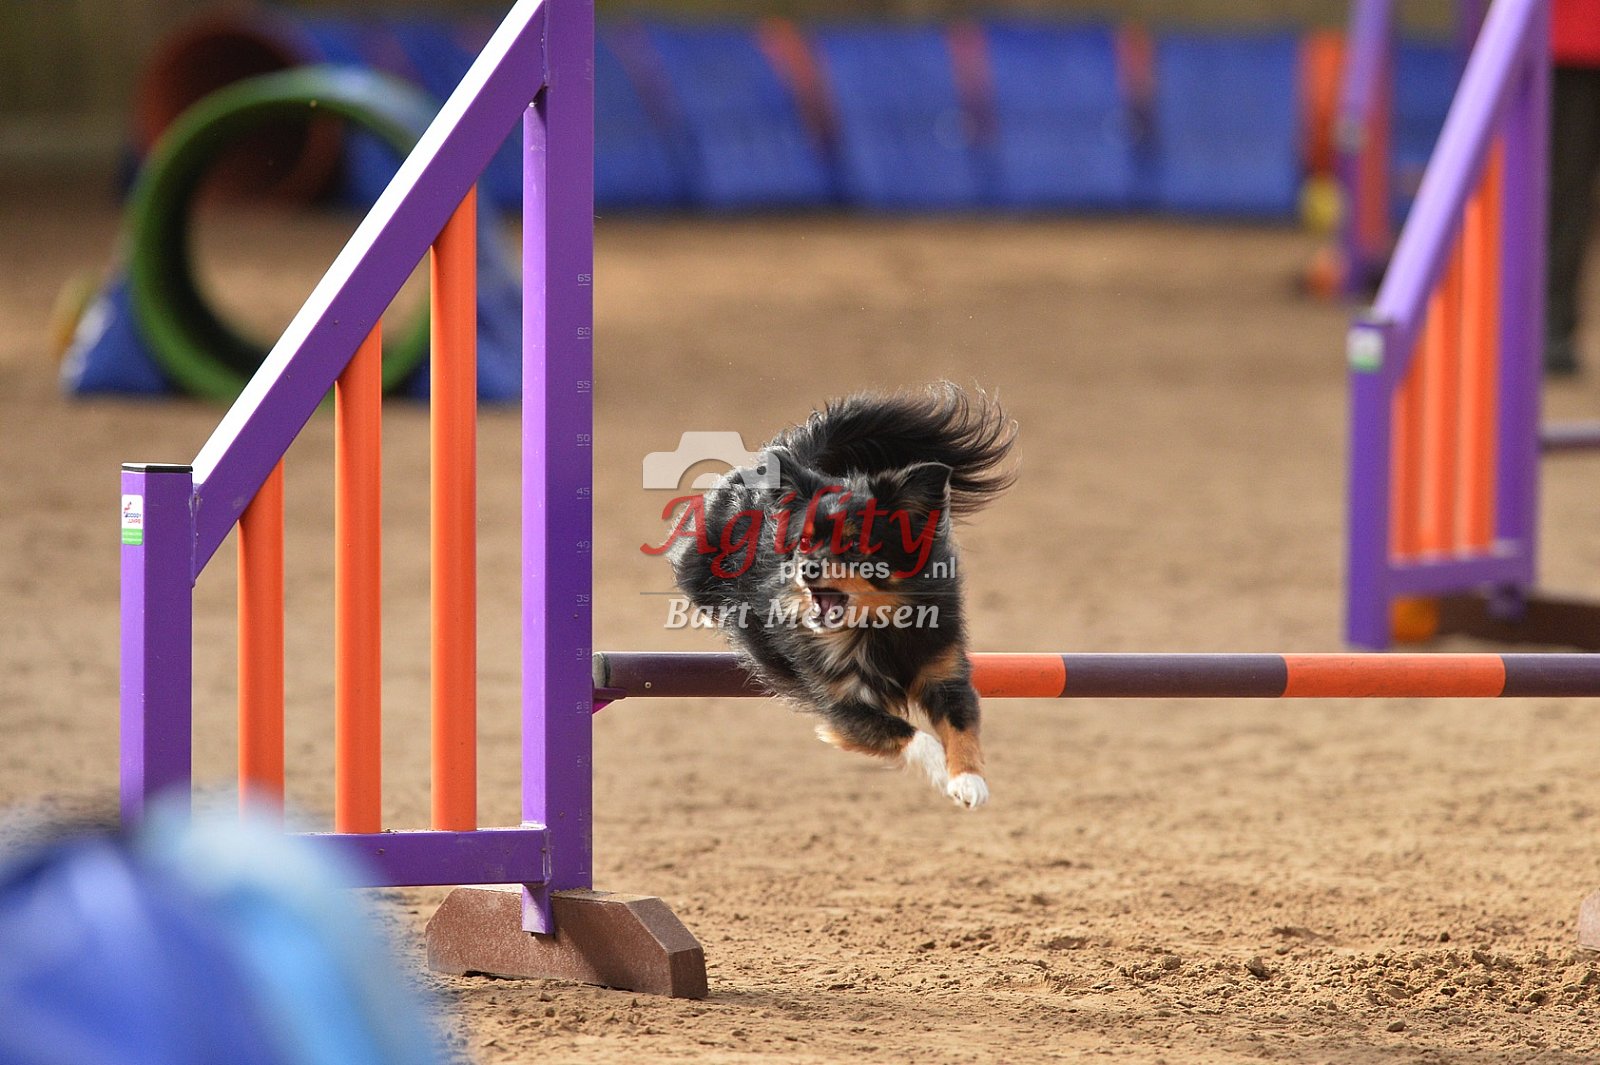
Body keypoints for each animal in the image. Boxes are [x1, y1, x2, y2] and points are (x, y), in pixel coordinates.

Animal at [665, 383, 1017, 809]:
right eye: (803, 543)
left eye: (853, 547)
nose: (807, 569)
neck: (875, 626)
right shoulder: (839, 703)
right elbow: (906, 732)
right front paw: (939, 767)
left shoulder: (945, 672)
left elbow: (961, 724)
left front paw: (968, 780)